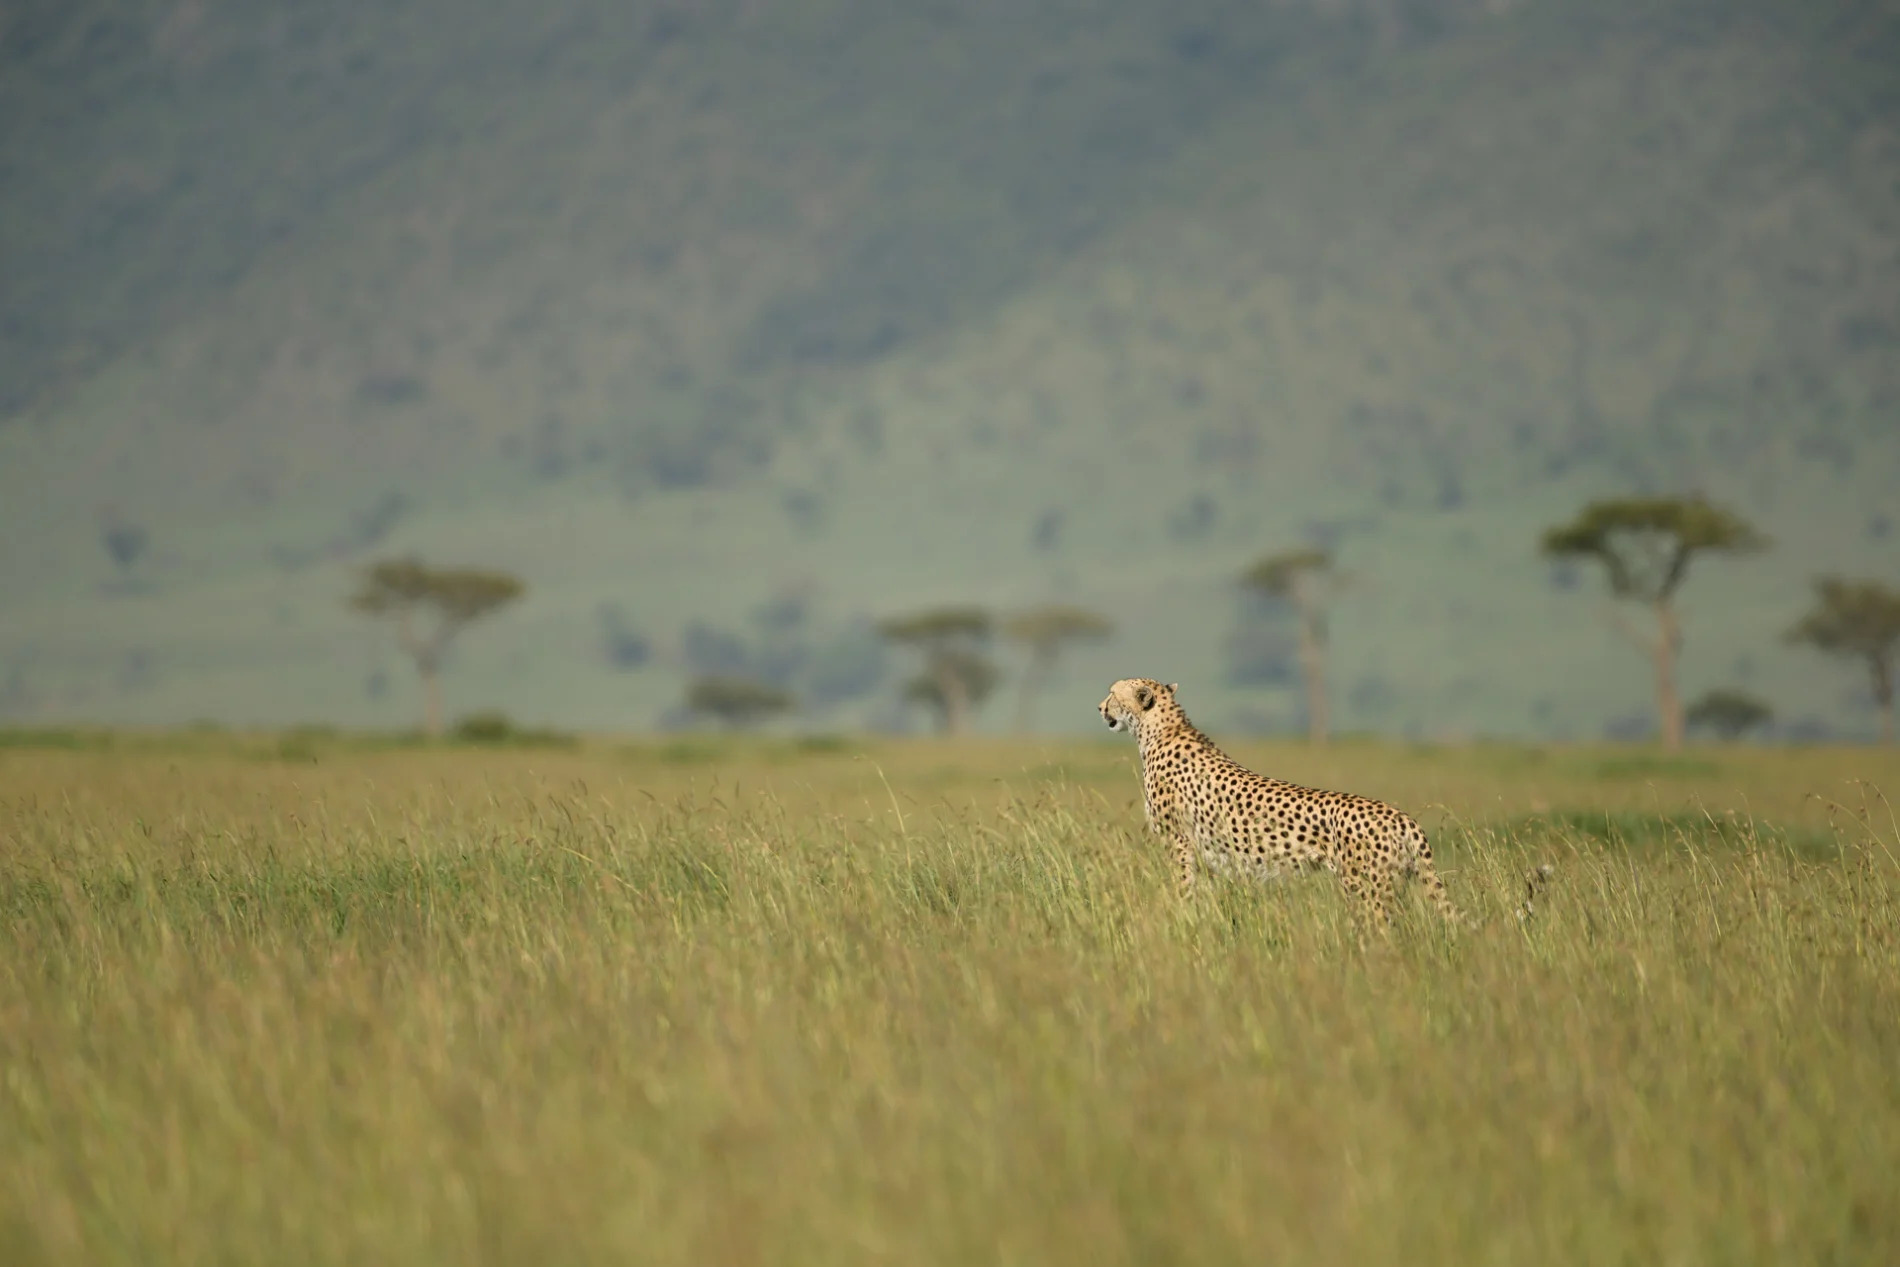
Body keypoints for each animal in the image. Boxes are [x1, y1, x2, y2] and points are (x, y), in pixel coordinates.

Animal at [1102, 680, 1451, 926]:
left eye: (1112, 693)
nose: (1099, 707)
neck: (1160, 729)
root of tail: (1402, 816)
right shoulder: (1205, 853)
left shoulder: (1179, 843)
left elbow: (1183, 887)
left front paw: (1181, 916)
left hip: (1366, 887)